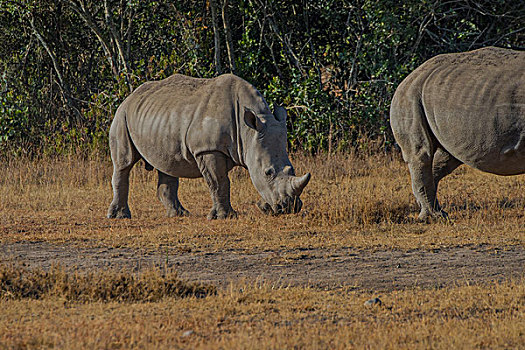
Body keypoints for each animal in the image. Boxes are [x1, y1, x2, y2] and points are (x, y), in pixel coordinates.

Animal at [108, 73, 310, 219]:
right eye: (268, 172)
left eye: (292, 169)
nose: (289, 207)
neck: (248, 131)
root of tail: (130, 96)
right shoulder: (208, 149)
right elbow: (219, 182)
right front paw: (225, 217)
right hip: (122, 115)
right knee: (124, 164)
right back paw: (119, 216)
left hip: (159, 119)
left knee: (167, 165)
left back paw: (179, 215)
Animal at [388, 47, 524, 220]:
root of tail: (409, 76)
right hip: (410, 96)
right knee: (421, 153)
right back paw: (433, 217)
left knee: (447, 156)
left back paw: (435, 212)